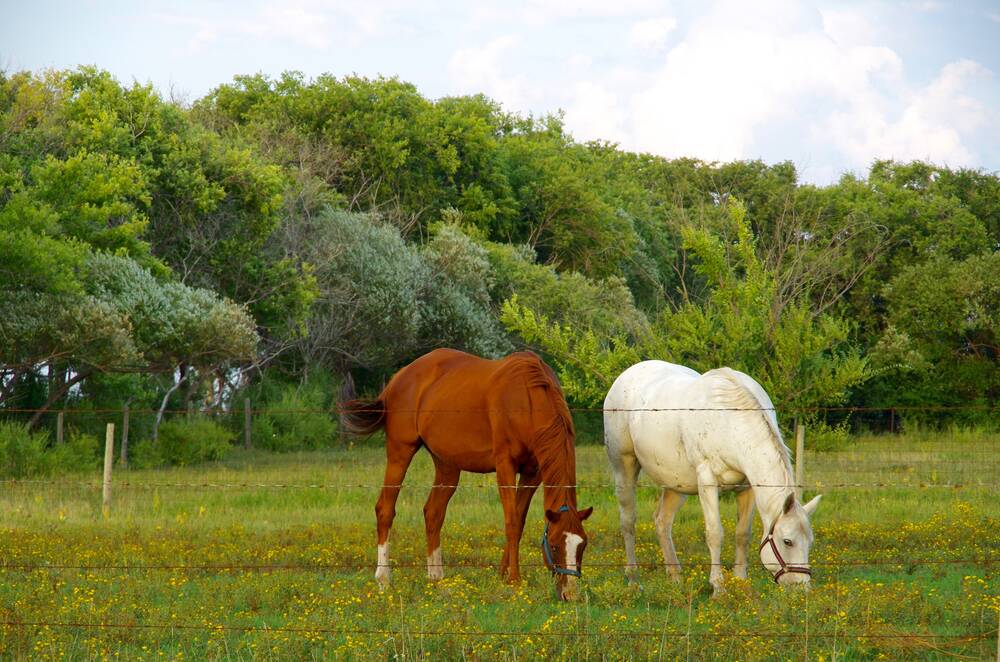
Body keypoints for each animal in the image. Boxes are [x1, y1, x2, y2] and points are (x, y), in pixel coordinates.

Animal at [339, 348, 593, 601]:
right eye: (555, 545)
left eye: (583, 545)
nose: (570, 594)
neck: (527, 397)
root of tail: (398, 378)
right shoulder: (505, 466)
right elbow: (511, 521)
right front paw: (514, 580)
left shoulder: (533, 473)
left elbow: (519, 521)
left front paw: (503, 575)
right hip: (399, 454)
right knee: (385, 510)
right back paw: (384, 579)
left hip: (447, 465)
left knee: (433, 513)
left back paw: (436, 578)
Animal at [603, 360, 821, 595]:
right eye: (787, 541)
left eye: (810, 542)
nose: (801, 588)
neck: (730, 423)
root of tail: (627, 374)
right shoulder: (707, 481)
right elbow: (715, 533)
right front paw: (718, 587)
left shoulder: (747, 488)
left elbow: (743, 534)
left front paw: (740, 582)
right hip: (624, 467)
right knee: (628, 521)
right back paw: (634, 579)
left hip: (676, 483)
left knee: (662, 521)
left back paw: (675, 577)